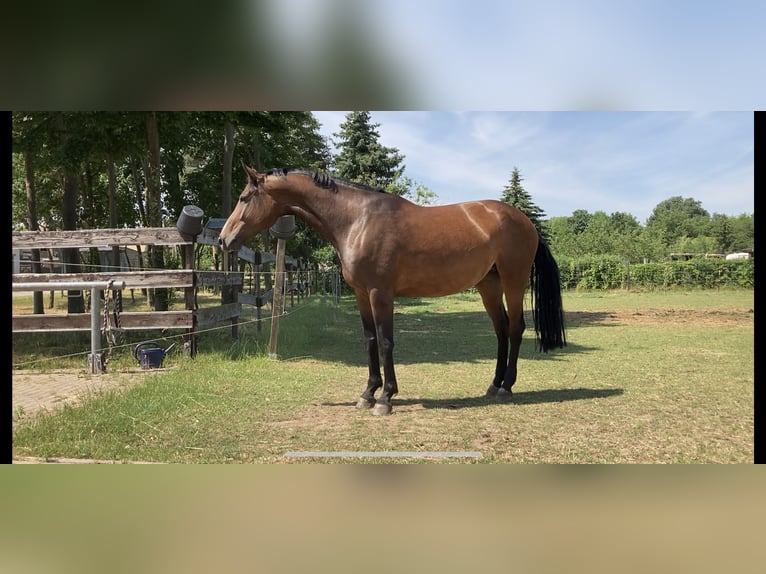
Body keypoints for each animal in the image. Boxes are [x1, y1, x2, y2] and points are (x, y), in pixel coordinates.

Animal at [219, 165, 568, 414]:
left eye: (244, 198)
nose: (224, 240)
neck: (357, 220)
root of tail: (525, 222)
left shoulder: (380, 294)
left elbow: (386, 342)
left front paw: (386, 398)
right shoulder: (362, 295)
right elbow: (370, 341)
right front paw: (367, 394)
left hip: (513, 281)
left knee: (516, 328)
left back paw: (507, 387)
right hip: (489, 286)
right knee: (501, 330)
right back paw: (494, 385)